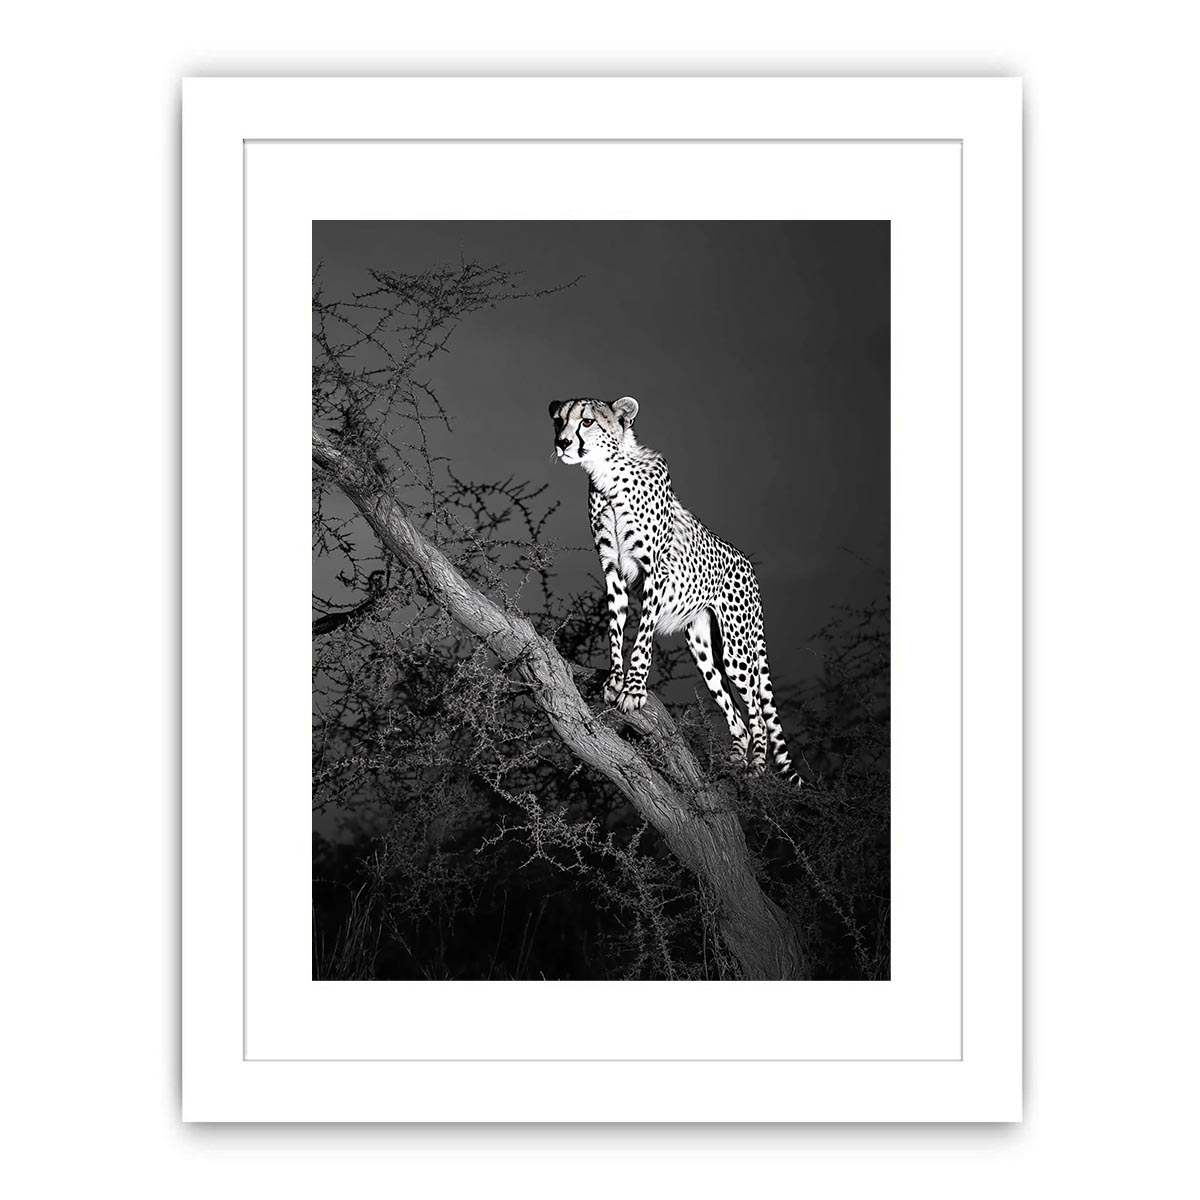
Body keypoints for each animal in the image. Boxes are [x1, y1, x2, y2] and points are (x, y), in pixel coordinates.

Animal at [550, 395, 802, 786]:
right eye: (559, 420)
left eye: (587, 421)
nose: (562, 443)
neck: (606, 476)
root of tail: (747, 563)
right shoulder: (611, 570)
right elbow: (615, 628)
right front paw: (614, 681)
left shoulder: (655, 572)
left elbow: (642, 638)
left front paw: (633, 690)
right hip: (702, 647)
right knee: (738, 718)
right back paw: (731, 764)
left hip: (737, 648)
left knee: (758, 714)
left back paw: (755, 769)